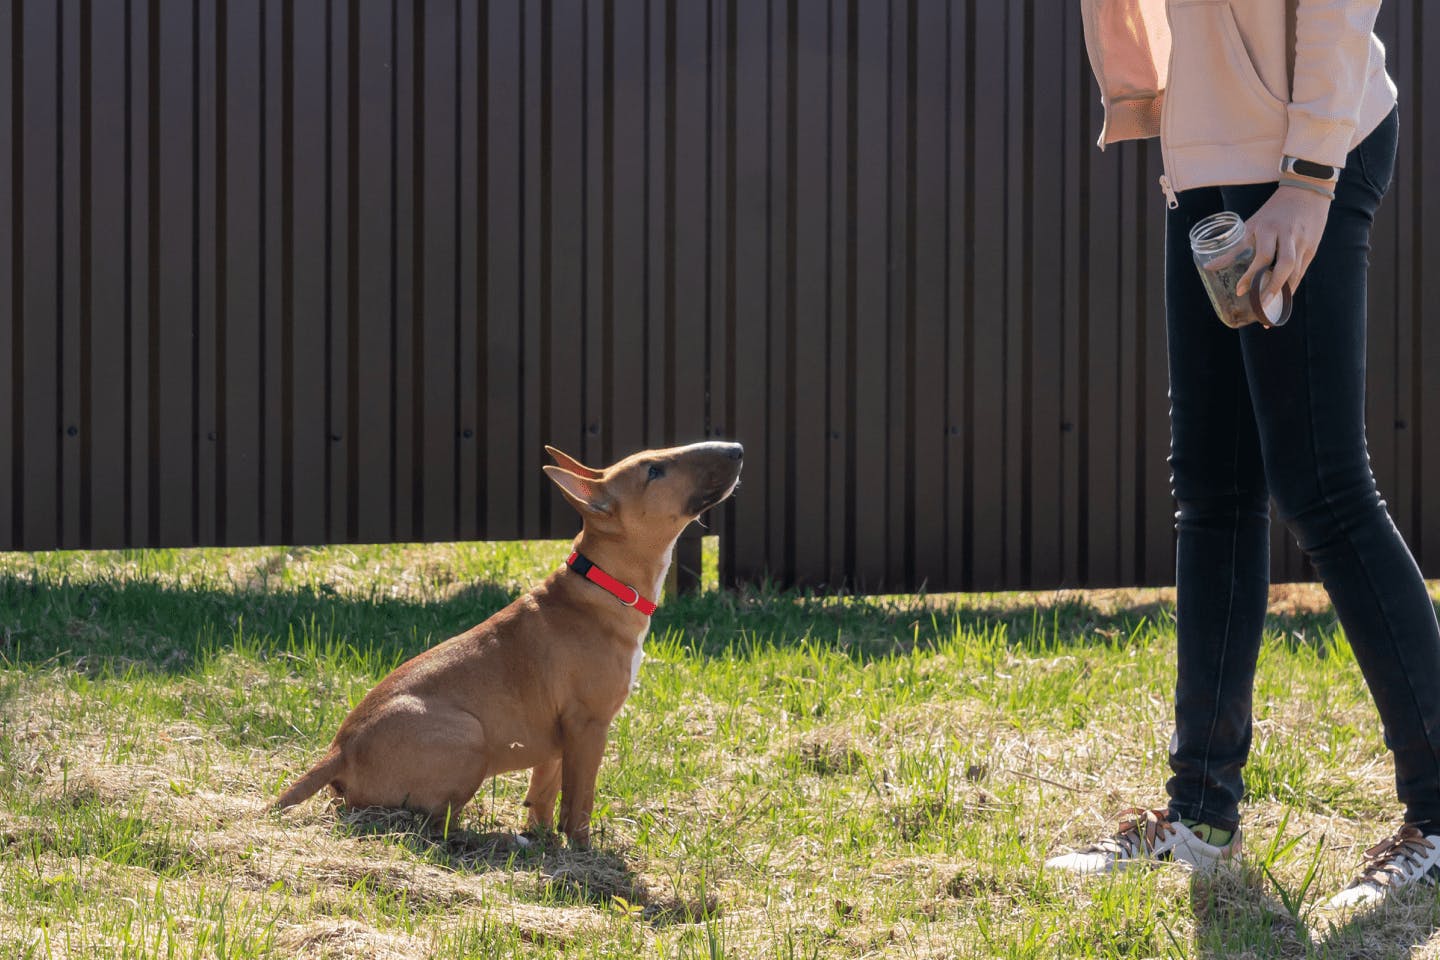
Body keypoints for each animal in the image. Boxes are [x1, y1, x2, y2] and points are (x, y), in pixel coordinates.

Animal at [275, 443, 743, 846]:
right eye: (654, 470)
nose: (736, 449)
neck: (602, 584)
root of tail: (340, 749)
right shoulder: (588, 725)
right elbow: (580, 801)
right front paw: (582, 852)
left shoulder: (558, 732)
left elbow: (544, 794)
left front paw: (541, 839)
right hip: (470, 739)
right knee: (430, 820)